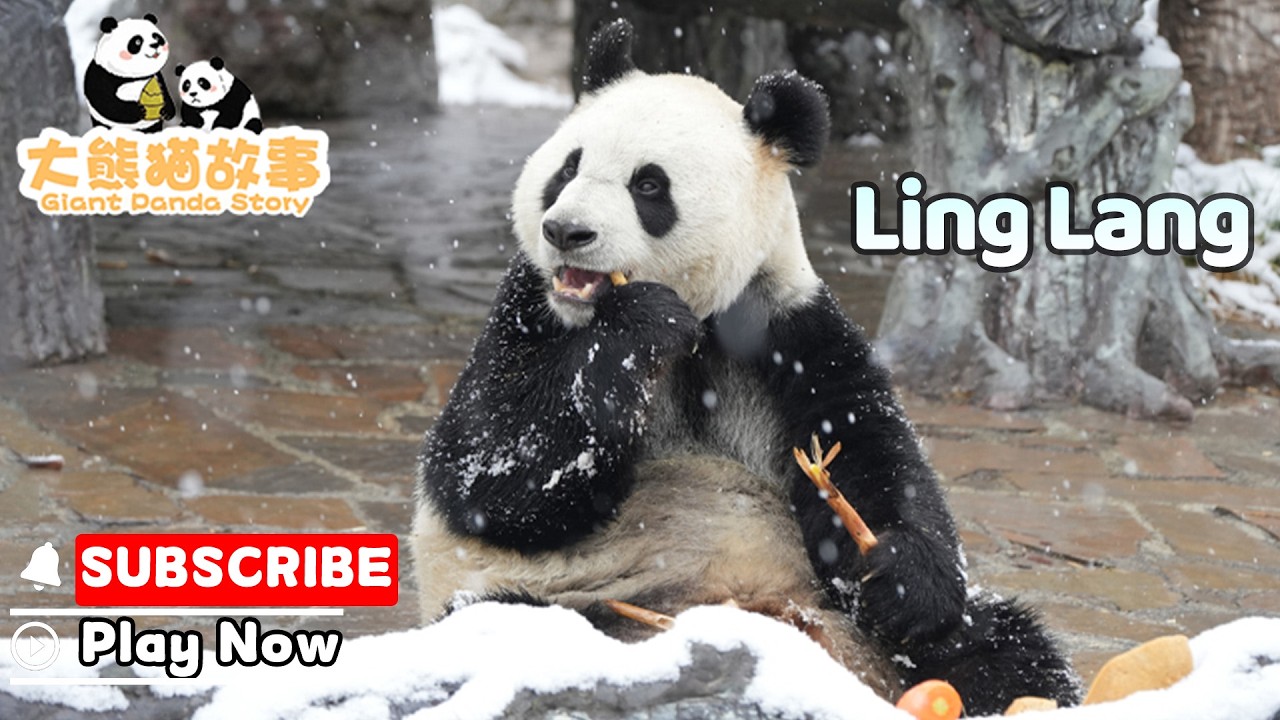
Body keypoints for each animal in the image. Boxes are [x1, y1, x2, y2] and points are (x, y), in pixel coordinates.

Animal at [412, 19, 1080, 716]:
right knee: (507, 623)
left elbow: (869, 454)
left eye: (648, 186)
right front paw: (636, 328)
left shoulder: (788, 324)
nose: (566, 231)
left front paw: (898, 575)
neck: (696, 317)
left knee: (998, 643)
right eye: (568, 167)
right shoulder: (526, 310)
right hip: (574, 600)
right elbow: (490, 472)